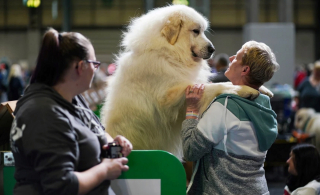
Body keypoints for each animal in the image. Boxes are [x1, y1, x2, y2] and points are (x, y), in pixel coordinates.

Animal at [100, 5, 270, 159]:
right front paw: (245, 89)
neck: (168, 53)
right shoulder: (167, 99)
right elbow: (212, 86)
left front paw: (263, 89)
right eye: (196, 31)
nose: (212, 49)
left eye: (203, 31)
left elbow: (218, 84)